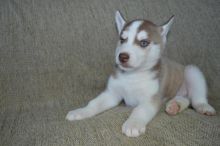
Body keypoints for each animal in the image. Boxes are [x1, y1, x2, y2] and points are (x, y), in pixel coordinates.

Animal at [65, 11, 217, 137]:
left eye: (144, 43)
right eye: (122, 39)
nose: (122, 56)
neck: (132, 76)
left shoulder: (151, 98)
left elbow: (139, 110)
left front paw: (133, 124)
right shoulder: (112, 94)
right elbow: (94, 103)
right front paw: (81, 111)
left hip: (192, 71)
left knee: (196, 98)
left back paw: (203, 107)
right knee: (185, 99)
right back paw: (175, 106)